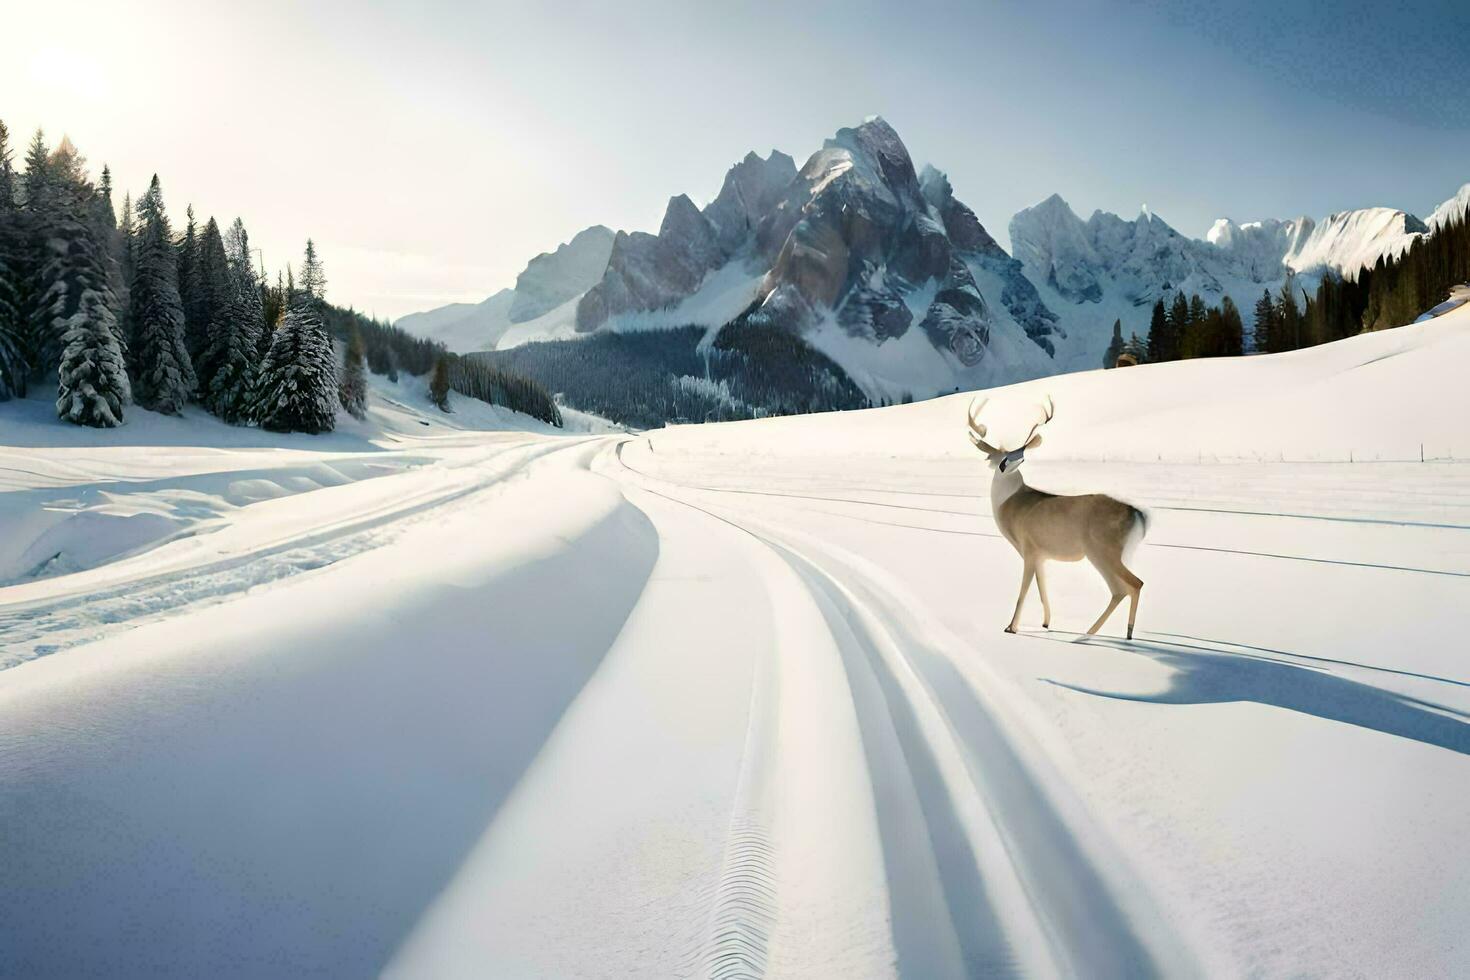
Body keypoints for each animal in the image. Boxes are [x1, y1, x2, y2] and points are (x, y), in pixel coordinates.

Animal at [970, 393, 1152, 640]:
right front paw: (1046, 622)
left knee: (1131, 585)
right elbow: (1042, 586)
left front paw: (1011, 627)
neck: (1011, 504)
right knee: (1125, 588)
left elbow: (1024, 590)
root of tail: (1139, 514)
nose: (1008, 463)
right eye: (995, 457)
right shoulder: (1040, 554)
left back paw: (1096, 634)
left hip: (1103, 549)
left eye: (1012, 456)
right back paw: (1109, 633)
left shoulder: (1029, 547)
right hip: (1109, 552)